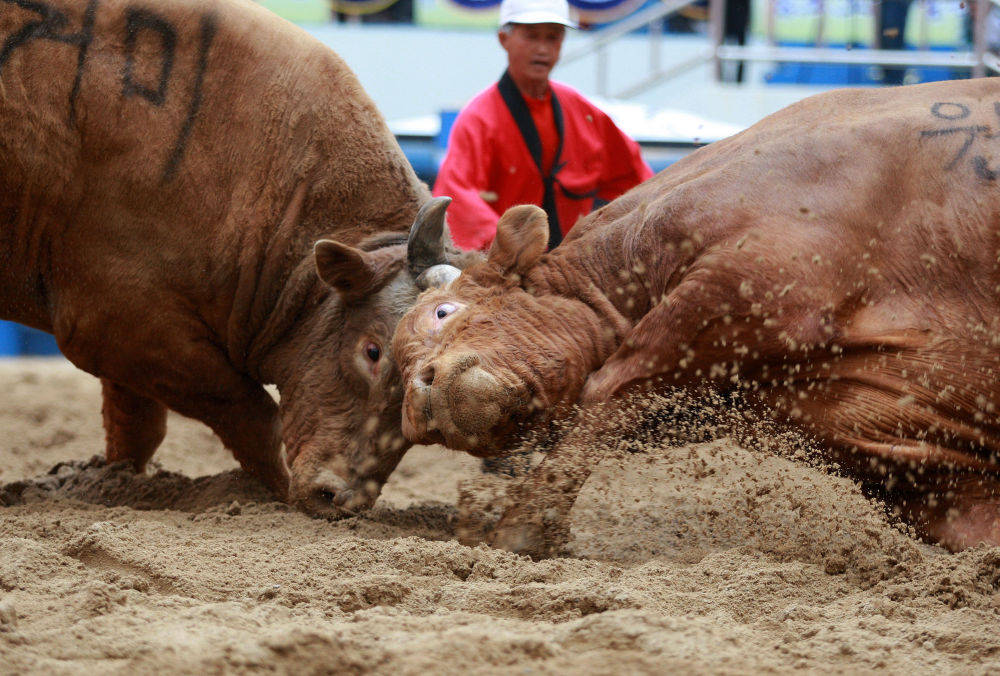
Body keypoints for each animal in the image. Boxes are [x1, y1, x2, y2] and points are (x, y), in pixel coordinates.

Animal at [0, 0, 468, 516]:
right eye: (372, 351)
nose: (338, 498)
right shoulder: (119, 325)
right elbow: (253, 415)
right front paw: (277, 490)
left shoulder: (120, 338)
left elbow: (136, 424)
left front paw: (106, 480)